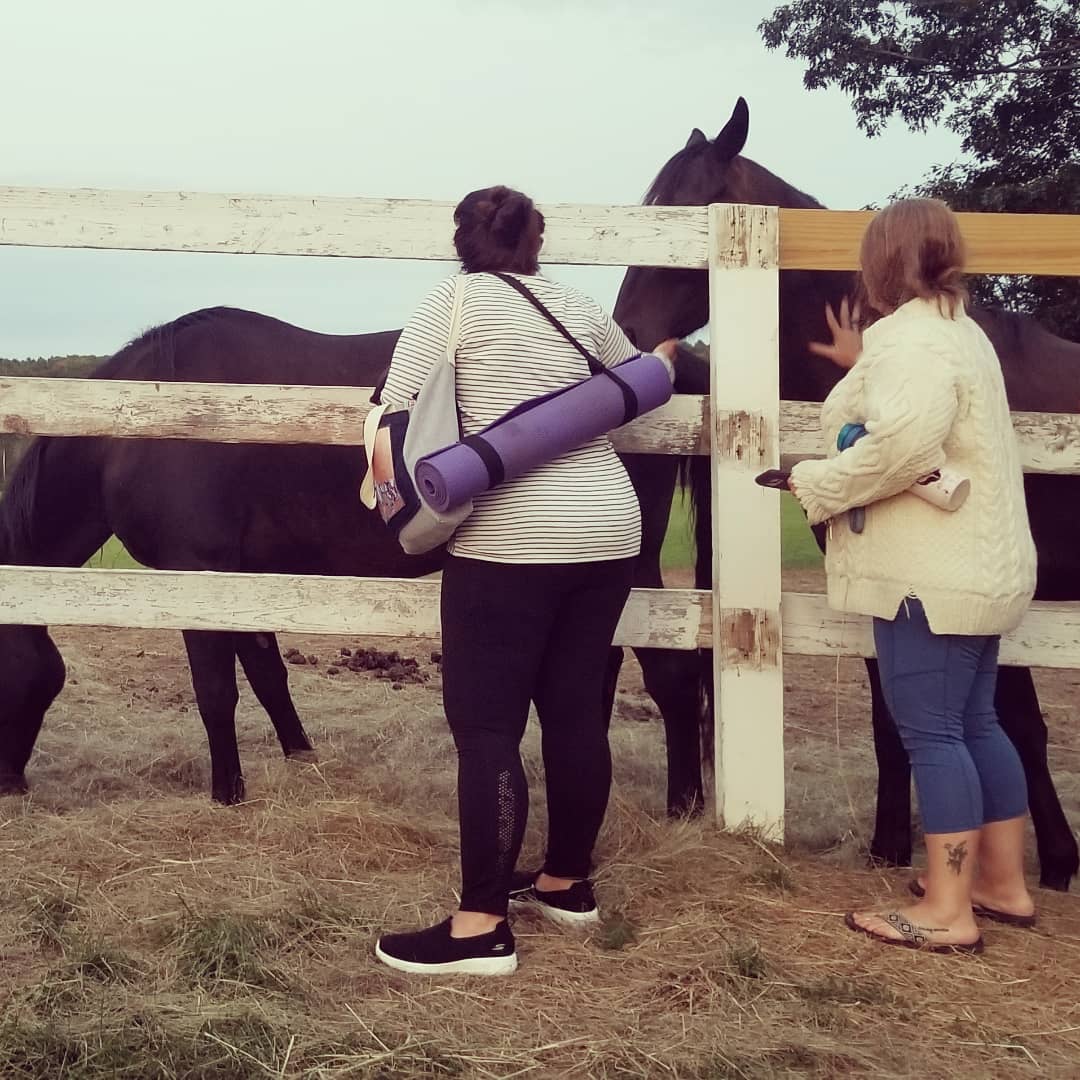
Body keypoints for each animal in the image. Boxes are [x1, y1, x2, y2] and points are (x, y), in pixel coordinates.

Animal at [0, 304, 708, 812]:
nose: (7, 785)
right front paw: (299, 756)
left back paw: (686, 804)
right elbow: (267, 674)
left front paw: (227, 795)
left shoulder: (197, 575)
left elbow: (215, 692)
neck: (137, 427)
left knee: (674, 677)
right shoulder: (246, 580)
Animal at [617, 95, 1080, 885]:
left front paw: (1052, 861)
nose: (624, 328)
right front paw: (892, 845)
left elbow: (1018, 722)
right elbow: (897, 716)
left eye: (685, 213)